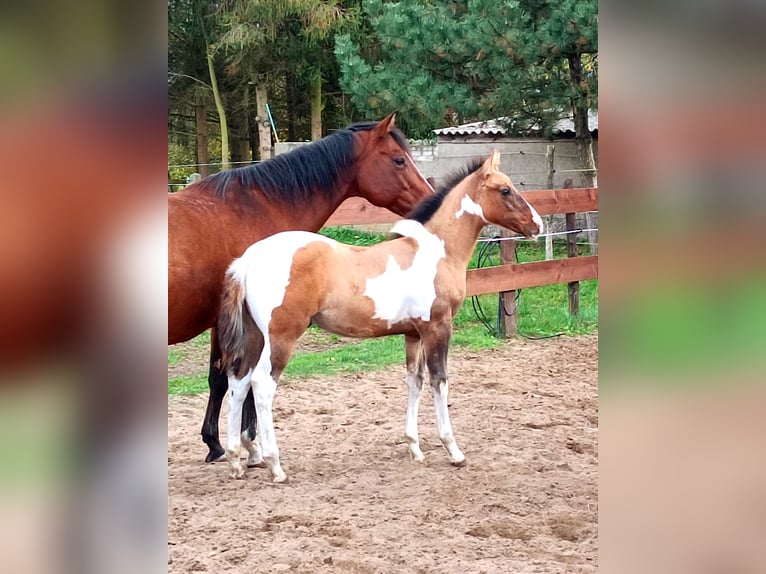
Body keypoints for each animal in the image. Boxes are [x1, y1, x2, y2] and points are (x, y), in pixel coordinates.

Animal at [169, 113, 436, 464]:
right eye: (399, 160)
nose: (431, 200)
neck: (257, 207)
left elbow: (225, 379)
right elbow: (233, 379)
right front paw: (240, 444)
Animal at [216, 151, 544, 484]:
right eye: (505, 190)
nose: (537, 225)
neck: (437, 252)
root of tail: (249, 258)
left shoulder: (413, 334)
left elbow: (415, 380)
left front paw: (415, 448)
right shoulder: (438, 327)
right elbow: (439, 381)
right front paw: (453, 451)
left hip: (255, 336)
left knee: (239, 382)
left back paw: (235, 461)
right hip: (282, 337)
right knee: (262, 385)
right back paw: (275, 465)